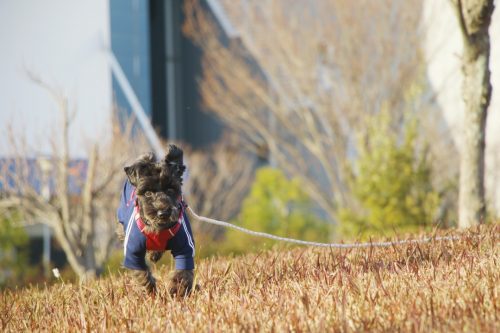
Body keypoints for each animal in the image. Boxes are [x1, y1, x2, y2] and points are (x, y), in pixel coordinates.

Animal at [117, 145, 195, 296]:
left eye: (171, 189)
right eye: (147, 193)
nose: (163, 212)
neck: (159, 229)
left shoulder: (185, 249)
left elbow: (182, 273)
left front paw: (177, 291)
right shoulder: (132, 254)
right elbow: (141, 275)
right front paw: (150, 292)